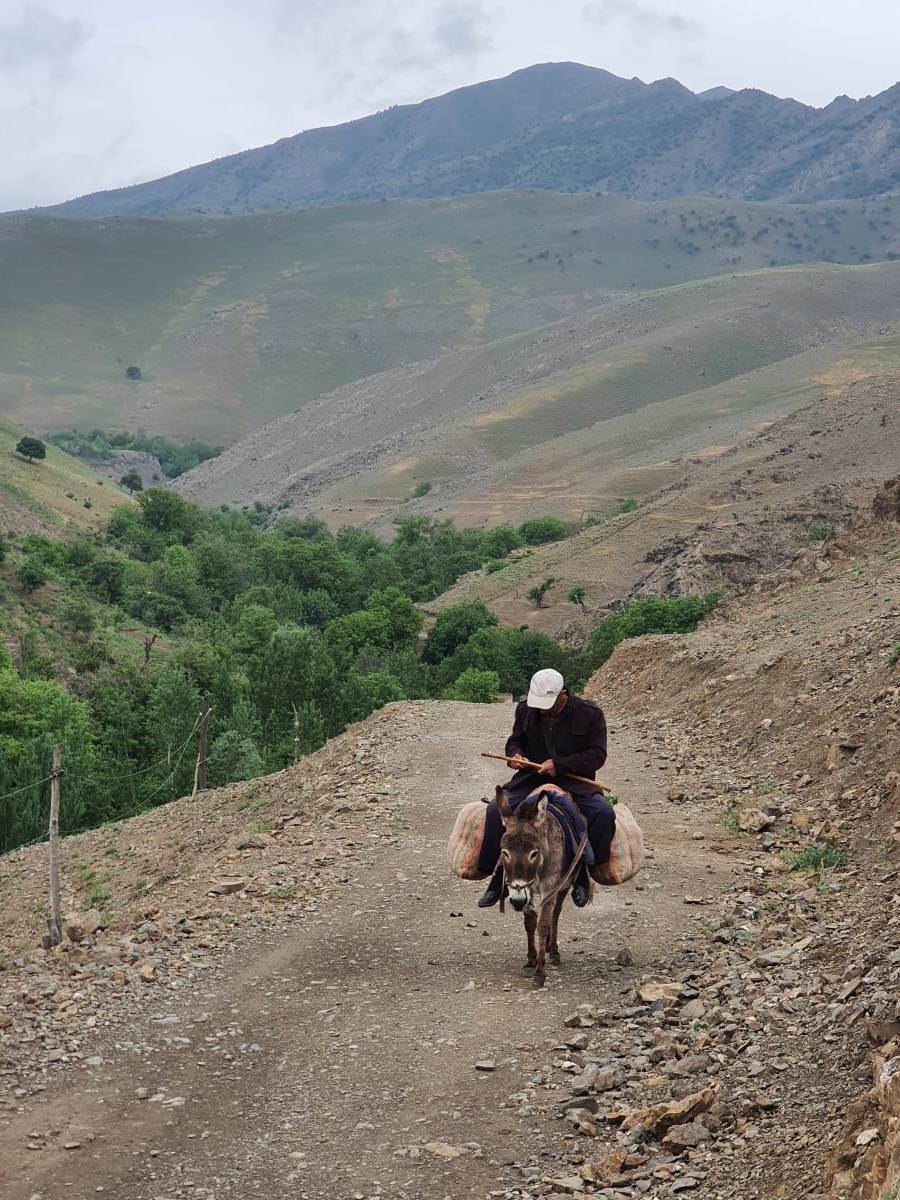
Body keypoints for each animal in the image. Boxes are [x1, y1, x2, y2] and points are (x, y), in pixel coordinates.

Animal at [495, 785, 588, 989]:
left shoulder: (550, 884)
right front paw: (531, 962)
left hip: (564, 882)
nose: (516, 902)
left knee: (556, 912)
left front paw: (540, 972)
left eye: (533, 853)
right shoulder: (526, 889)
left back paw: (553, 950)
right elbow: (530, 924)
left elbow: (543, 924)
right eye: (504, 852)